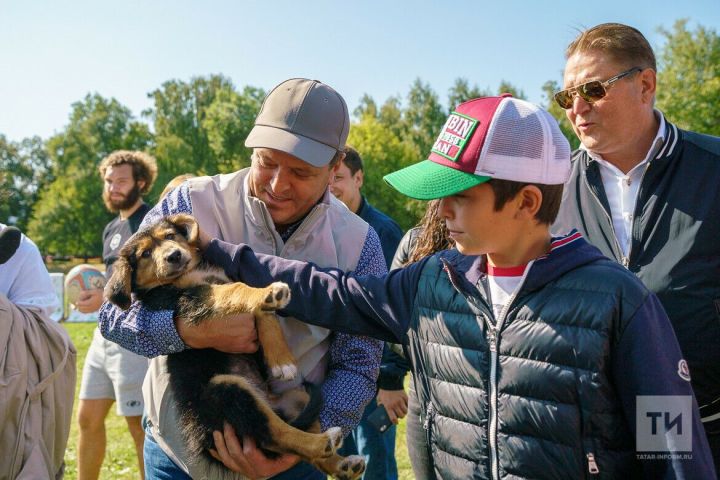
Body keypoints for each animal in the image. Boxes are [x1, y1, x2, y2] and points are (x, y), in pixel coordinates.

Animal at [105, 215, 366, 480]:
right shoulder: (193, 298)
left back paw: (342, 465)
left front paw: (281, 360)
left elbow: (261, 311)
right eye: (145, 253)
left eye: (170, 236)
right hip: (226, 390)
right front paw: (270, 292)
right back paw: (324, 442)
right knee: (274, 435)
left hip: (298, 396)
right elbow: (237, 289)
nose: (174, 256)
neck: (189, 273)